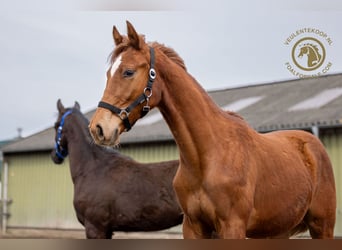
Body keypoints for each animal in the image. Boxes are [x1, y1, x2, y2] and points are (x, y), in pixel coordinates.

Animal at [88, 21, 336, 238]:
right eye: (109, 74)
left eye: (128, 72)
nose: (98, 128)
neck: (207, 155)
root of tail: (313, 145)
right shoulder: (193, 227)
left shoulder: (232, 227)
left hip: (322, 226)